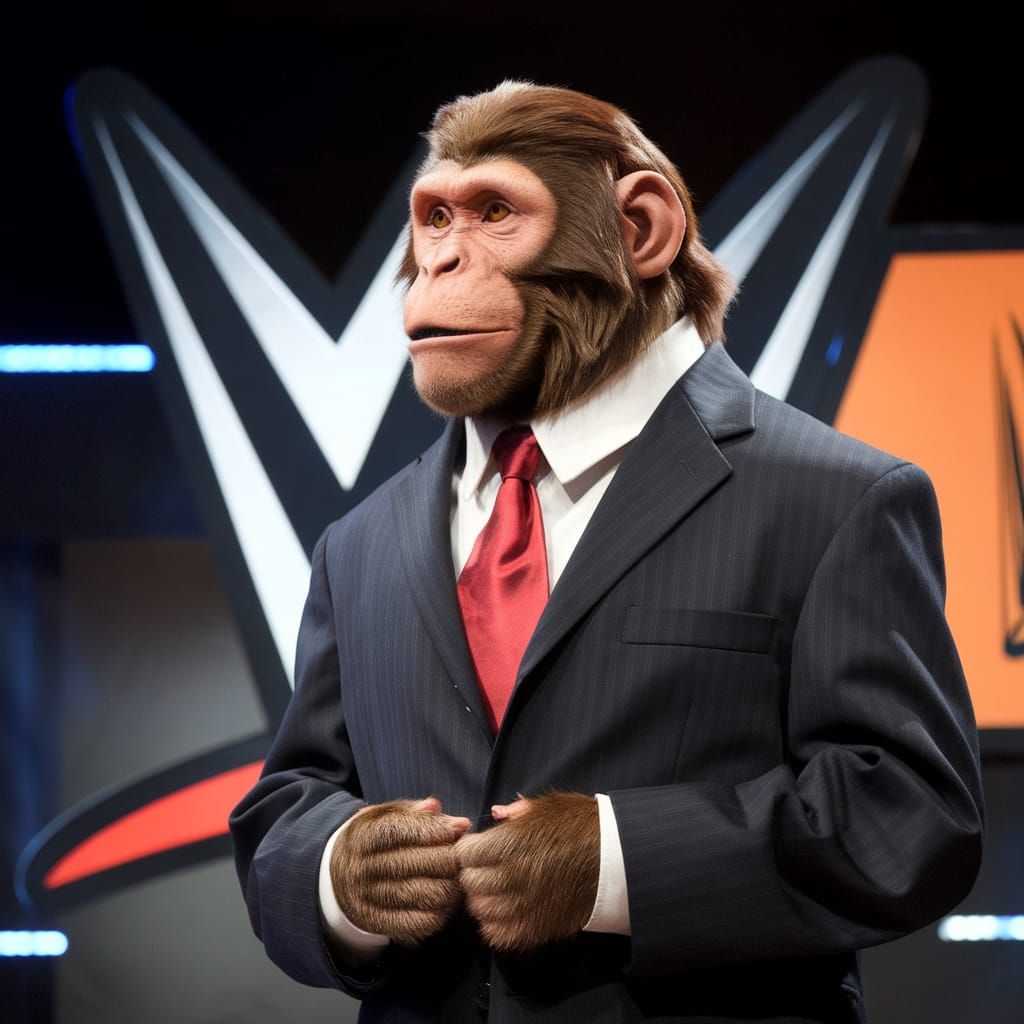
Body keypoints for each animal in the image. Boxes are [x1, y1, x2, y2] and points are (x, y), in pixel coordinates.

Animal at [328, 81, 735, 956]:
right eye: (438, 219)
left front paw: (552, 859)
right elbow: (293, 784)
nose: (442, 262)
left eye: (495, 212)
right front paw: (378, 864)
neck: (533, 436)